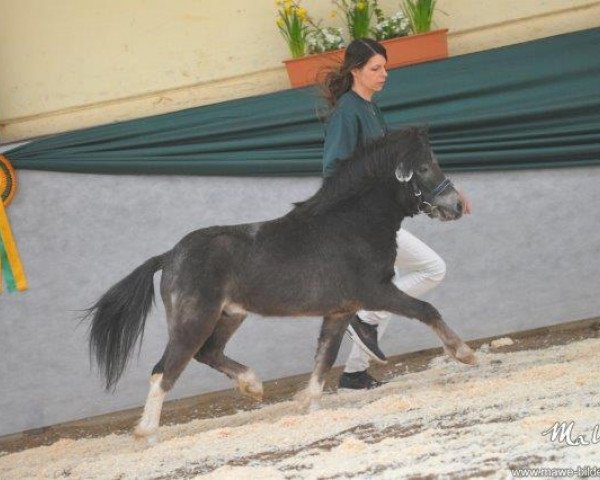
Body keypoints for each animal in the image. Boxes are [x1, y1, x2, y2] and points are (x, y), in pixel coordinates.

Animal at [86, 125, 476, 440]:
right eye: (424, 166)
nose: (456, 206)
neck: (351, 224)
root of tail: (169, 256)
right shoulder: (376, 291)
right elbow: (426, 309)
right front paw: (464, 353)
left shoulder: (341, 310)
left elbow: (325, 354)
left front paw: (307, 401)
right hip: (195, 320)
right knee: (165, 370)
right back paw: (146, 433)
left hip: (230, 315)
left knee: (207, 353)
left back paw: (253, 386)